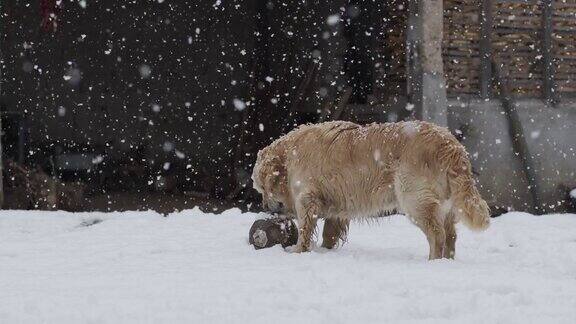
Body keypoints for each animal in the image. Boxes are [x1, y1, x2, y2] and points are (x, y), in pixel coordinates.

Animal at [252, 120, 490, 260]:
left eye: (261, 188)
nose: (264, 206)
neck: (288, 156)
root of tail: (451, 145)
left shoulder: (306, 200)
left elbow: (304, 230)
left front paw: (298, 251)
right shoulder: (336, 207)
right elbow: (330, 231)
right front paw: (326, 249)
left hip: (415, 200)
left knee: (437, 234)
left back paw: (433, 261)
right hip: (446, 205)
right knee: (451, 235)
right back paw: (447, 261)